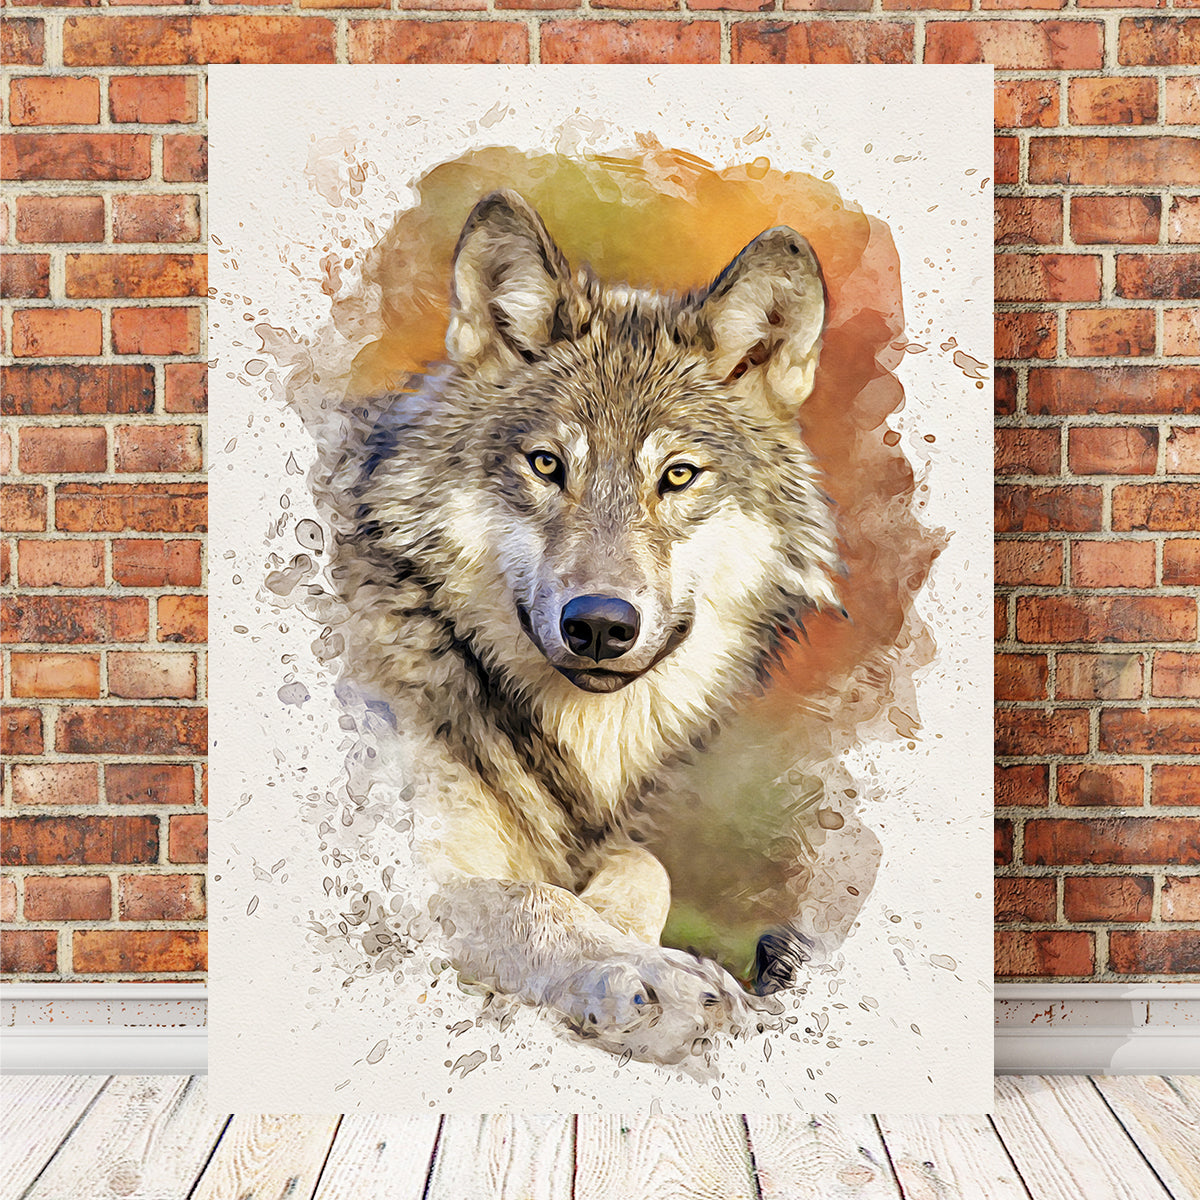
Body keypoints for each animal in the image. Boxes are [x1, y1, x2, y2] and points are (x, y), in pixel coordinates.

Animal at [320, 190, 840, 1063]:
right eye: (546, 466)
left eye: (677, 476)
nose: (599, 625)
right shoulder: (383, 869)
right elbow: (535, 900)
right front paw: (652, 977)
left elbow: (642, 868)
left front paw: (637, 941)